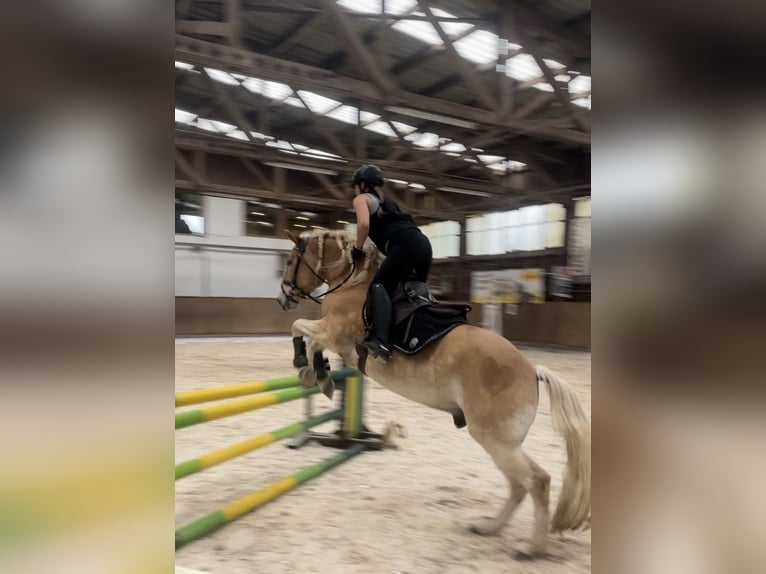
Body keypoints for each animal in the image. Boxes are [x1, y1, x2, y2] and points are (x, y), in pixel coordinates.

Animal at [278, 228, 592, 560]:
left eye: (290, 261)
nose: (283, 297)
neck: (352, 282)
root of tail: (532, 371)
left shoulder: (335, 335)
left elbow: (299, 328)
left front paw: (306, 367)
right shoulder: (334, 339)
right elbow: (312, 341)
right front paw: (319, 375)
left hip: (497, 439)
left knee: (537, 481)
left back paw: (533, 548)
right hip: (499, 442)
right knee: (518, 486)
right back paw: (489, 527)